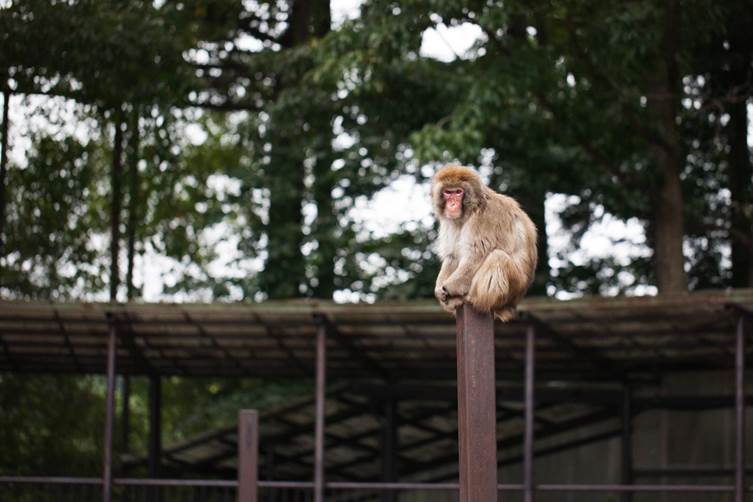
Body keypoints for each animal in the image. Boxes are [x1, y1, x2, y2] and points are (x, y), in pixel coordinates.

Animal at [432, 165, 536, 322]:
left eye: (458, 192)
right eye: (448, 192)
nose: (452, 204)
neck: (472, 209)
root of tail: (512, 304)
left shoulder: (487, 217)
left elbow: (476, 256)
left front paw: (448, 287)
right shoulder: (451, 222)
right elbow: (452, 256)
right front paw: (439, 289)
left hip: (514, 288)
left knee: (498, 257)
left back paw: (474, 300)